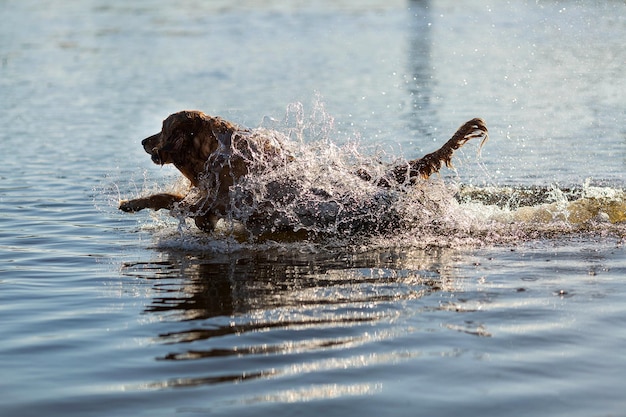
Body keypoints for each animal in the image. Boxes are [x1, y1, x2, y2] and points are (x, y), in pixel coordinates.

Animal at [118, 109, 488, 239]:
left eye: (163, 127)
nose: (143, 141)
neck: (213, 152)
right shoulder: (210, 201)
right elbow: (173, 199)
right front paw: (131, 203)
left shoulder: (221, 199)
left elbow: (176, 203)